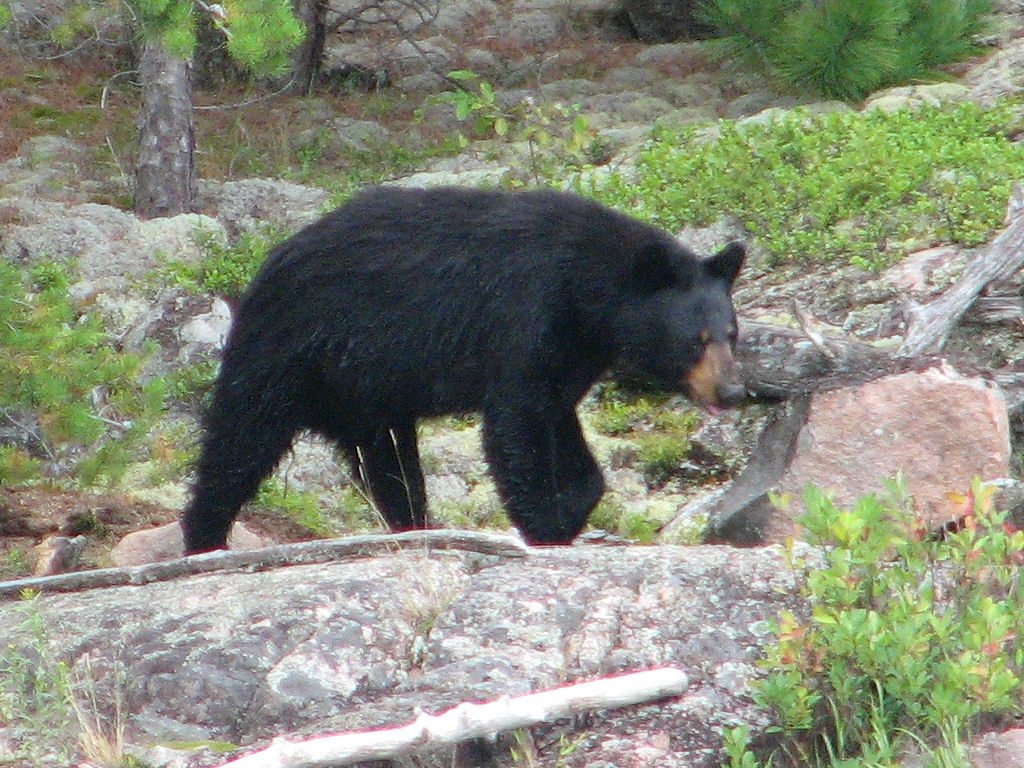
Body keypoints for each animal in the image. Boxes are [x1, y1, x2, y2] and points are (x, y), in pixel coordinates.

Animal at [182, 189, 745, 557]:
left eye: (731, 332)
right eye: (696, 339)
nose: (734, 389)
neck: (589, 292)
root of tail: (271, 259)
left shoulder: (571, 351)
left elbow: (559, 420)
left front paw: (572, 505)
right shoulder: (526, 315)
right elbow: (515, 427)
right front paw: (544, 527)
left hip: (367, 392)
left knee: (390, 463)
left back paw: (416, 527)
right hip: (292, 352)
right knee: (241, 440)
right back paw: (204, 539)